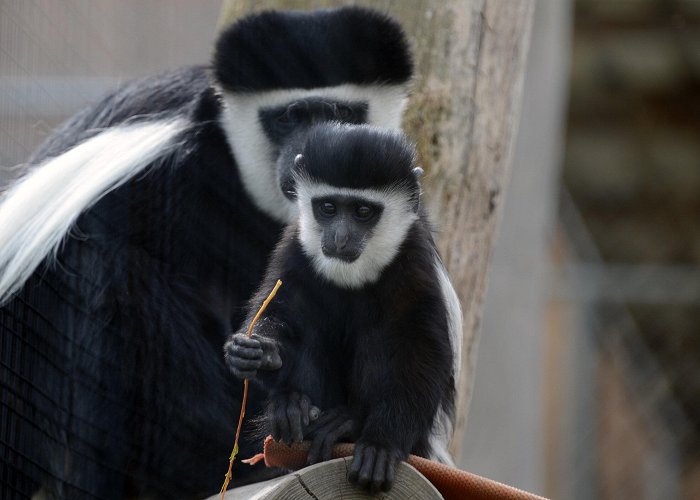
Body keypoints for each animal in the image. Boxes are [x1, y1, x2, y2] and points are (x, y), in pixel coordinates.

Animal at [224, 122, 462, 492]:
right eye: (328, 208)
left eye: (363, 211)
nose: (338, 238)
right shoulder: (294, 249)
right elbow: (281, 313)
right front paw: (255, 352)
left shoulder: (415, 264)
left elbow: (420, 354)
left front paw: (381, 445)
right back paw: (293, 408)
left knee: (383, 340)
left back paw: (349, 423)